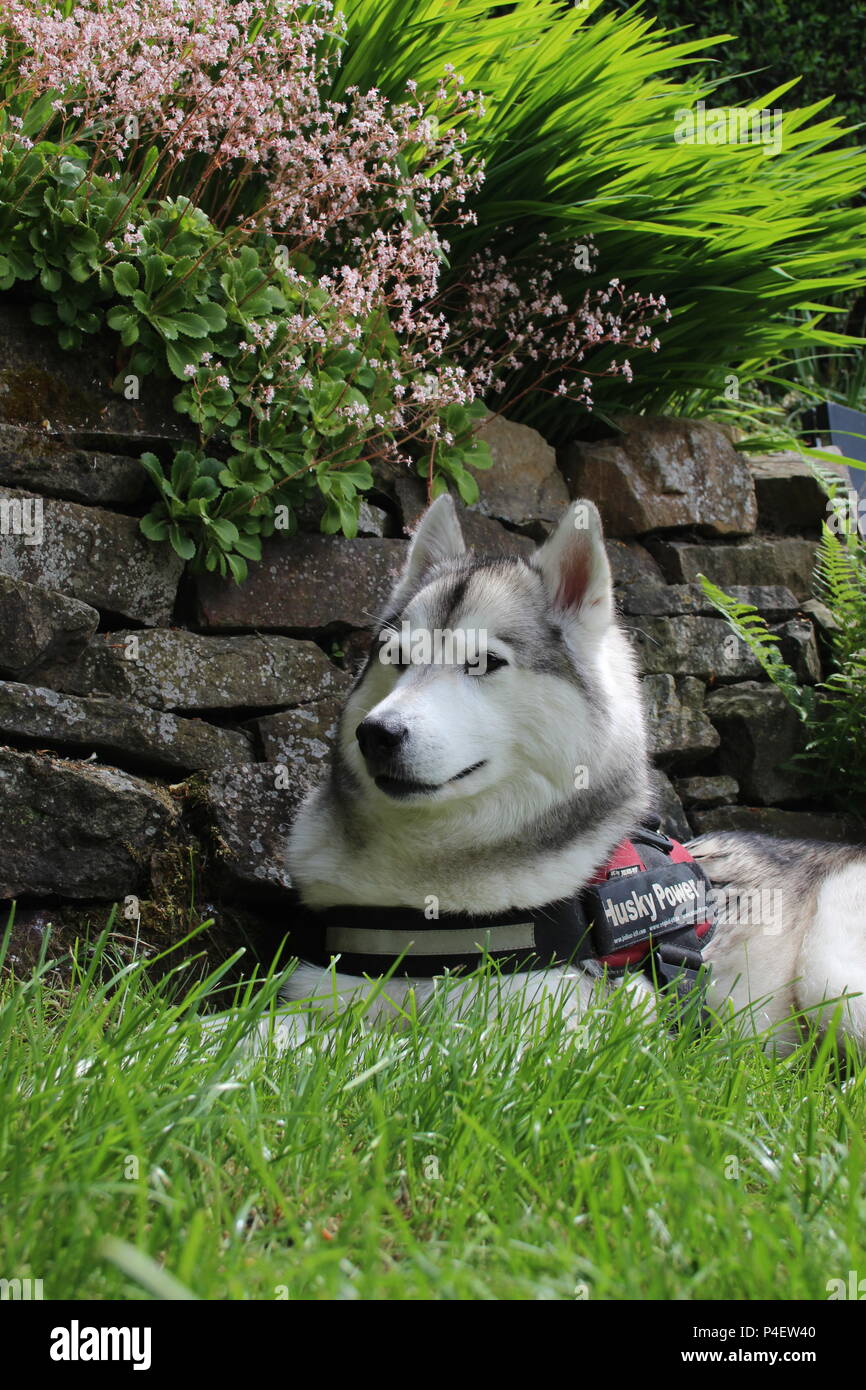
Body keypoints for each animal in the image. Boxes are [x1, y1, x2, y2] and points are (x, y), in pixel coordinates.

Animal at [286, 494, 866, 1045]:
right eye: (396, 658)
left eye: (483, 662)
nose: (376, 735)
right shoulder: (321, 988)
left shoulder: (568, 1033)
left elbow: (418, 1052)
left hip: (832, 984)